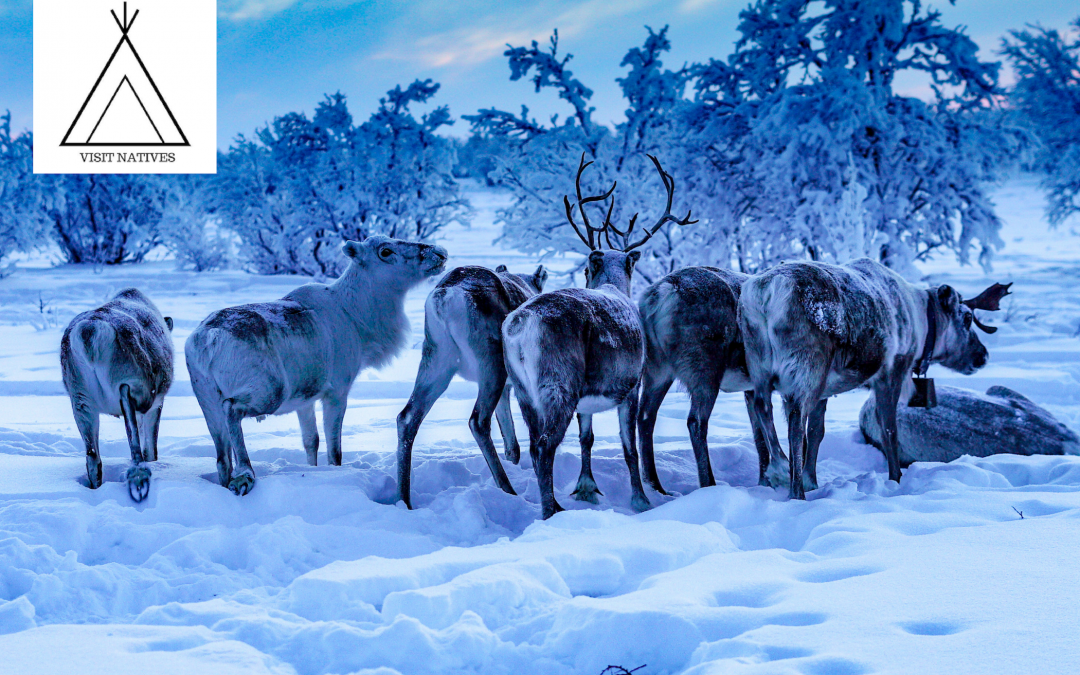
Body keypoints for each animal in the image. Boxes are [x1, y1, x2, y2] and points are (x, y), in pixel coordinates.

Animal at [60, 288, 174, 503]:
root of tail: (90, 332)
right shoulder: (156, 403)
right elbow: (151, 447)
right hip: (134, 387)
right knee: (135, 448)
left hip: (80, 397)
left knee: (92, 457)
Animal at [185, 235, 447, 496]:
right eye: (385, 251)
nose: (440, 252)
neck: (361, 320)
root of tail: (207, 341)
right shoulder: (338, 389)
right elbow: (335, 450)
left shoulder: (305, 398)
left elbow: (311, 440)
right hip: (271, 390)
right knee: (232, 409)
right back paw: (245, 473)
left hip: (206, 398)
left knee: (221, 456)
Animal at [394, 263, 548, 509]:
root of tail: (444, 297)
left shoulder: (506, 389)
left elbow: (511, 442)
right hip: (491, 362)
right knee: (478, 421)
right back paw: (508, 489)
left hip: (437, 360)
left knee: (407, 417)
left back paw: (404, 499)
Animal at [502, 153, 695, 519]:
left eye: (584, 269)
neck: (614, 286)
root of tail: (521, 325)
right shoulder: (631, 386)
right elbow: (629, 447)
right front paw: (640, 501)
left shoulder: (586, 400)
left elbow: (587, 439)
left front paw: (587, 490)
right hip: (558, 383)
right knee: (544, 446)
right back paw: (551, 512)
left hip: (523, 390)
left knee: (534, 442)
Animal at [738, 257, 1011, 499]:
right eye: (966, 318)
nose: (982, 355)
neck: (921, 321)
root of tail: (766, 294)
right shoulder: (891, 372)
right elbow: (889, 429)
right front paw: (896, 477)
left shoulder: (825, 391)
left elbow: (816, 432)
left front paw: (812, 481)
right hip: (807, 366)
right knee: (794, 423)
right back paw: (793, 487)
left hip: (760, 364)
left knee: (762, 406)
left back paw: (781, 468)